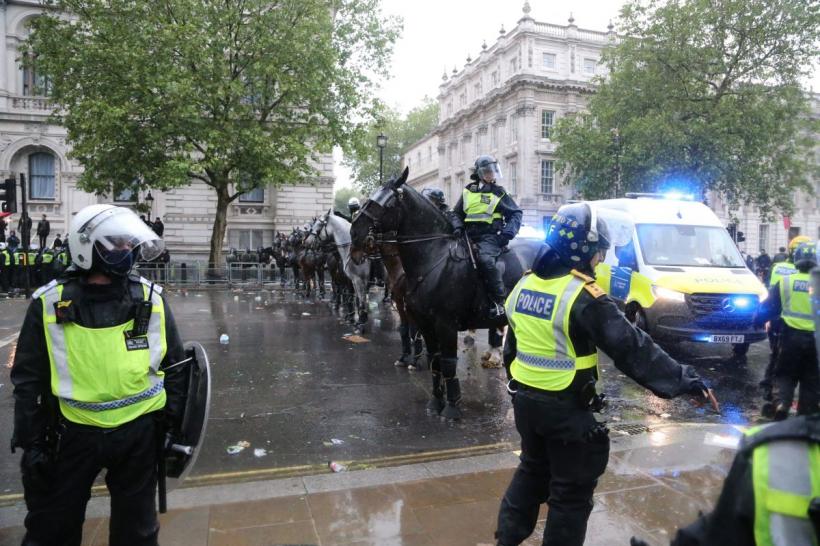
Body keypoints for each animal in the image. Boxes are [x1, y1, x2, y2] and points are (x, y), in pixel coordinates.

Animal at [350, 168, 540, 418]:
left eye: (383, 202)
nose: (354, 234)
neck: (434, 259)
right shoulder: (425, 322)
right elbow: (435, 361)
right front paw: (435, 402)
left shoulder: (445, 324)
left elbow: (448, 362)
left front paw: (451, 407)